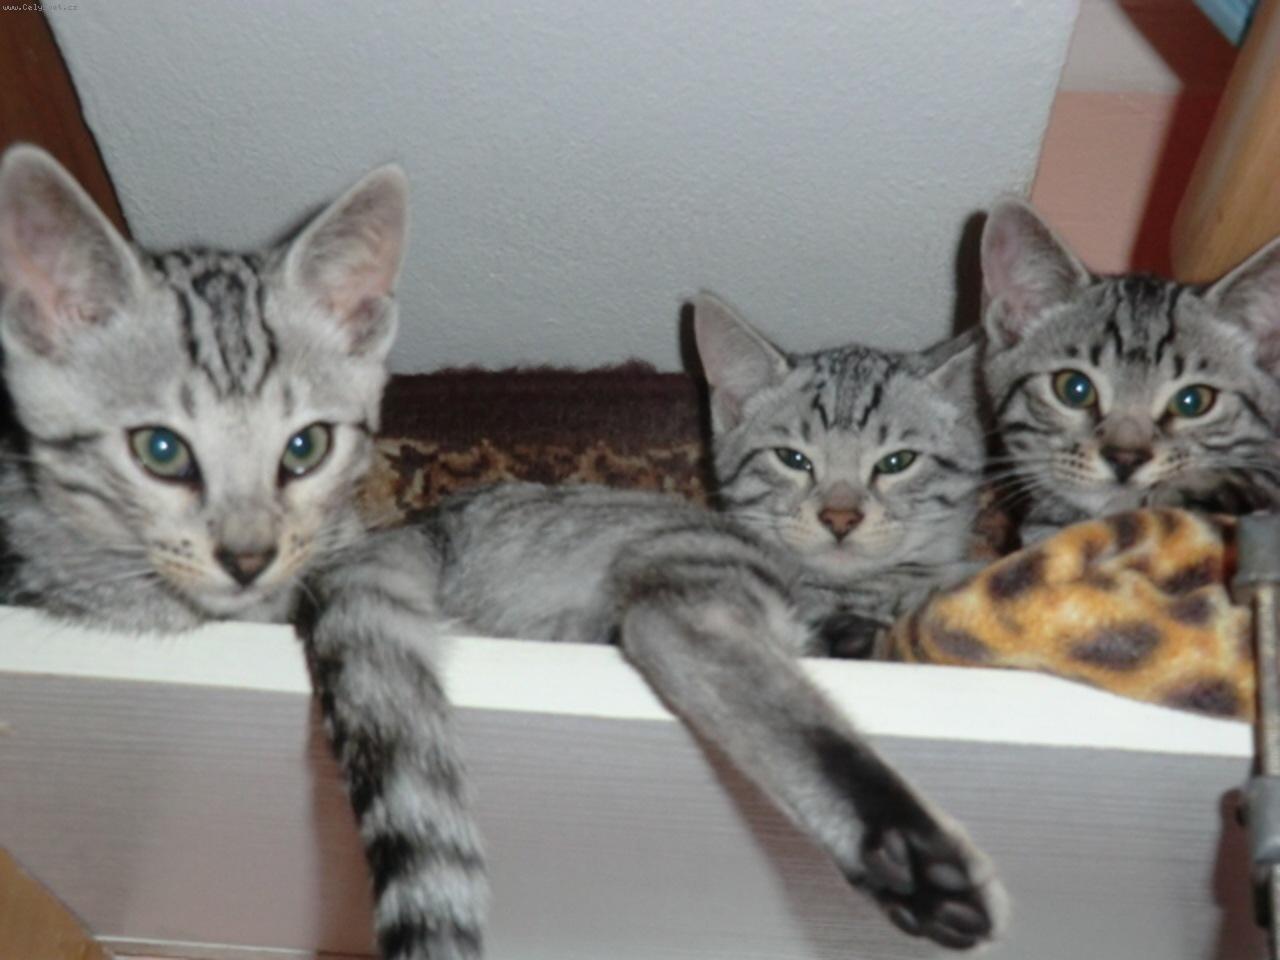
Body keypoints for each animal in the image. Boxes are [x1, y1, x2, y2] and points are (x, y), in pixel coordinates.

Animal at [300, 295, 1002, 960]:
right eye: (793, 458)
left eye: (898, 461)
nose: (840, 516)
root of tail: (434, 524)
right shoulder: (701, 607)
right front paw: (905, 856)